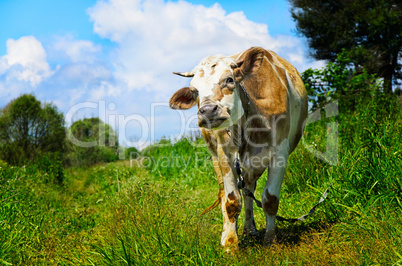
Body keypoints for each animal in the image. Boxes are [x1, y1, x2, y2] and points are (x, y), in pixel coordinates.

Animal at [168, 46, 306, 248]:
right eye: (194, 91)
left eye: (229, 80)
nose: (207, 111)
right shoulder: (225, 155)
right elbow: (231, 200)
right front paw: (230, 243)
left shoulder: (280, 153)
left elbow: (270, 199)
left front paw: (270, 241)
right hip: (215, 155)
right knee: (226, 194)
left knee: (249, 191)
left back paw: (250, 229)